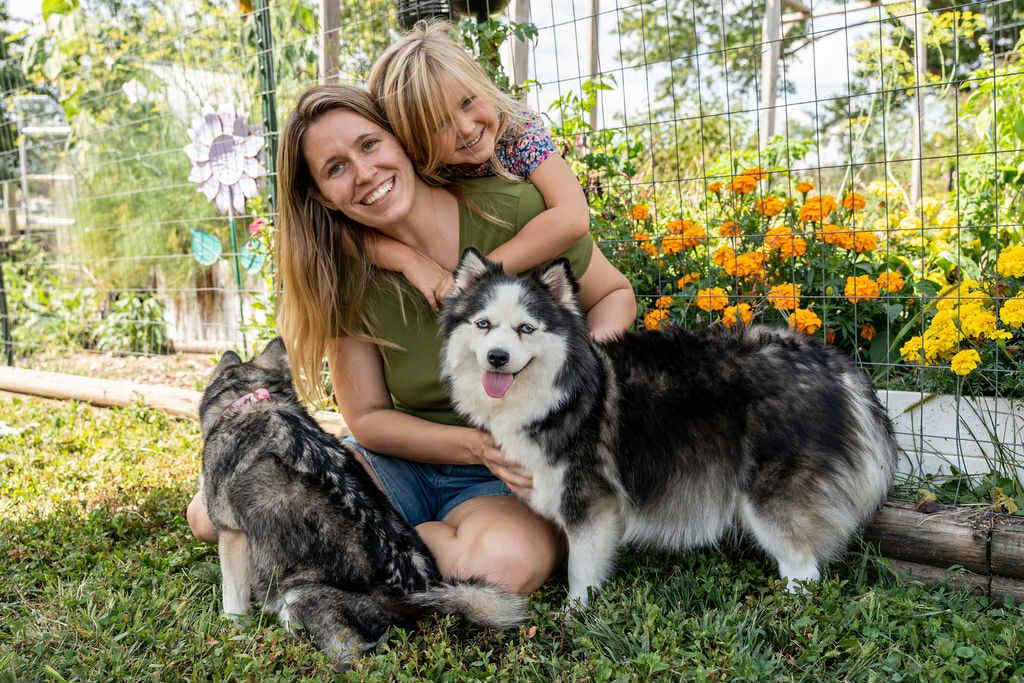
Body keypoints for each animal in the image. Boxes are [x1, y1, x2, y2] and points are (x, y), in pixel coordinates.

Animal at [198, 338, 525, 670]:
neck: (251, 398)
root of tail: (410, 599)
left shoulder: (231, 534)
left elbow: (233, 598)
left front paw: (232, 630)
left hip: (299, 595)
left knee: (350, 654)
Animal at [439, 248, 898, 606]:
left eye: (526, 328)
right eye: (483, 324)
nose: (497, 357)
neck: (563, 393)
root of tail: (835, 364)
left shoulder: (589, 502)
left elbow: (580, 573)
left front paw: (577, 615)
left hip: (770, 500)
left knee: (803, 569)